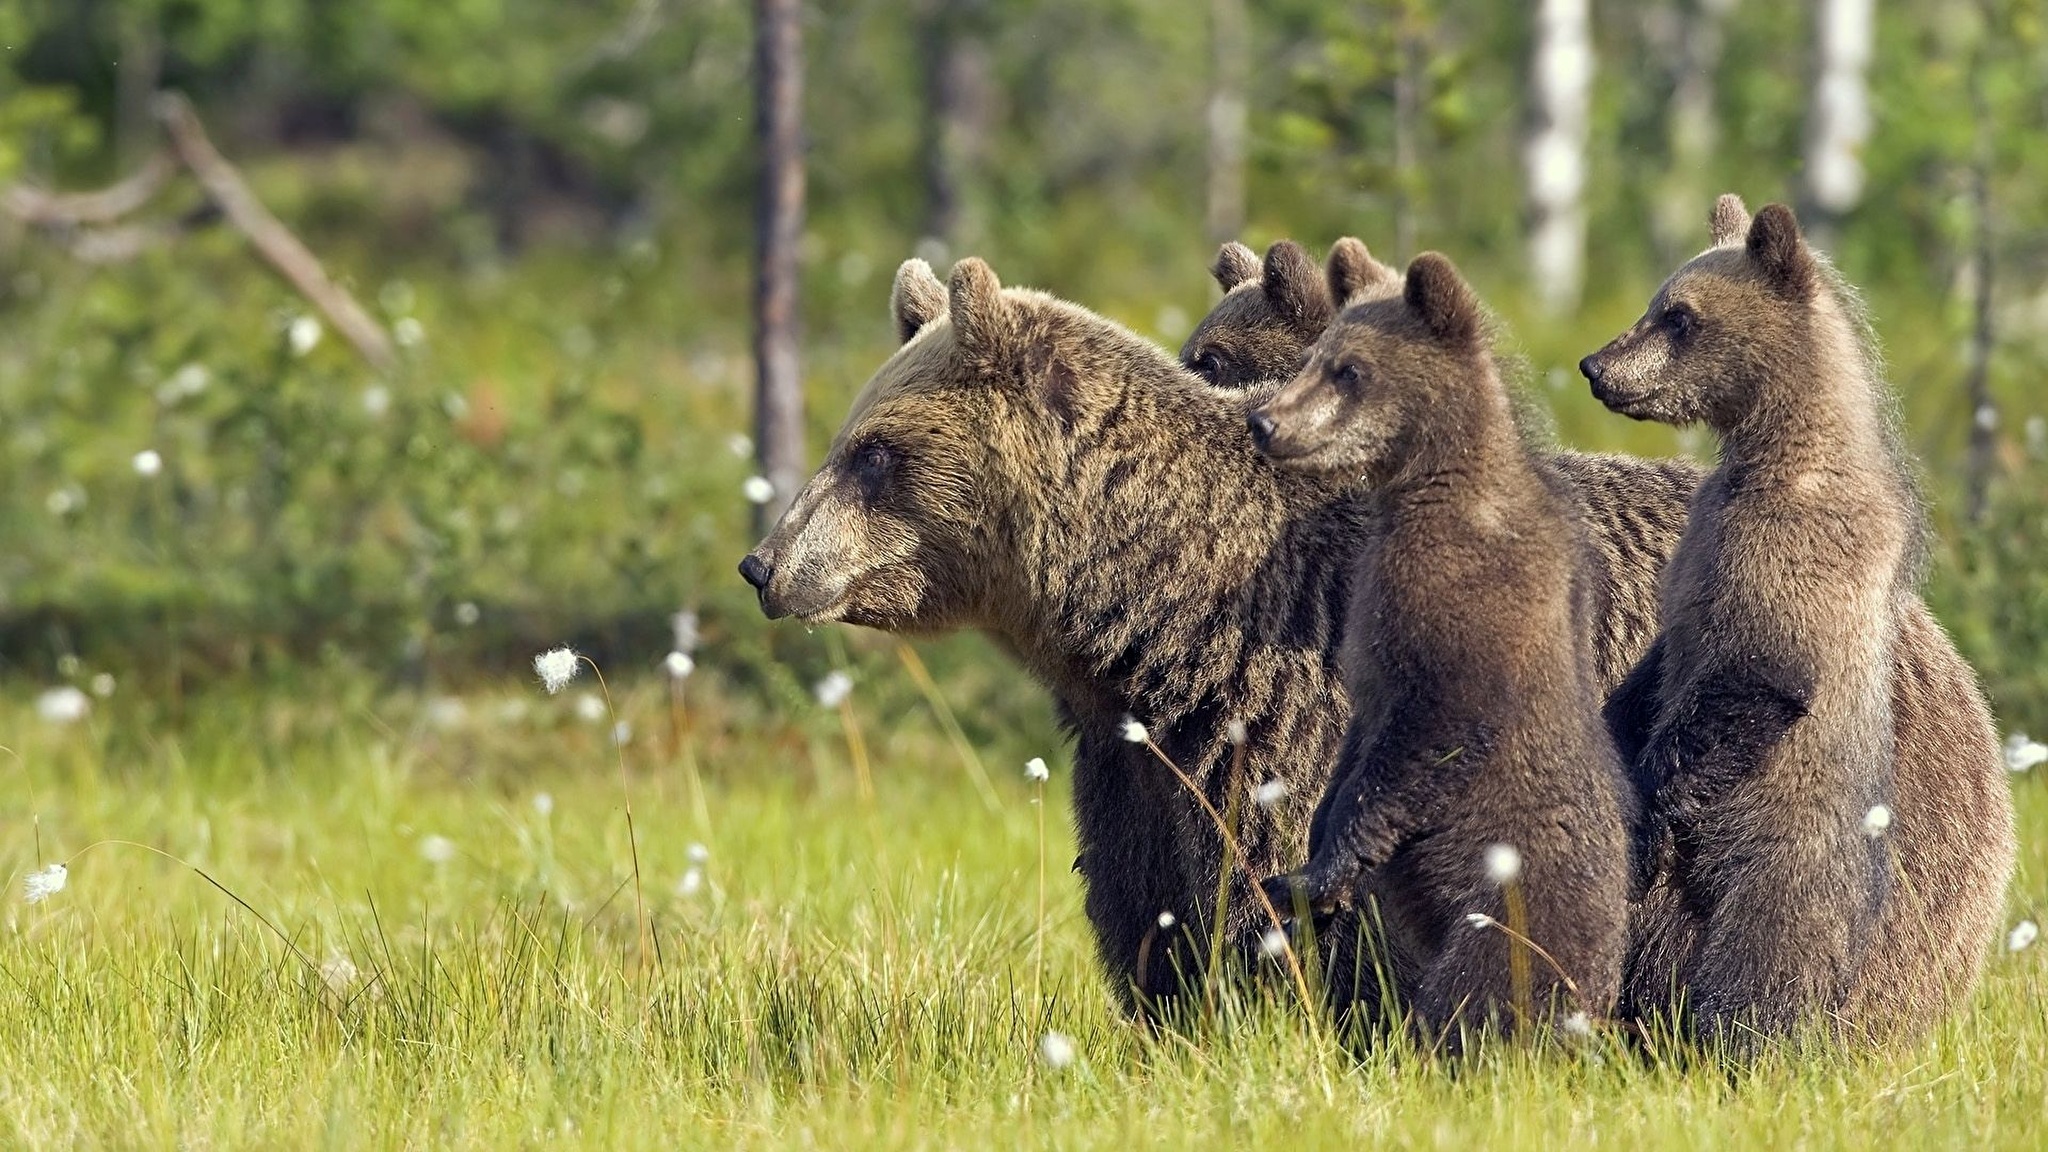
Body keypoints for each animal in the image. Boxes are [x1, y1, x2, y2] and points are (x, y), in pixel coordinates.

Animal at [737, 255, 1376, 1008]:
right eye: (847, 442)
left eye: (873, 454)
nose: (762, 565)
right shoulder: (1132, 770)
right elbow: (1146, 906)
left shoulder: (1281, 712)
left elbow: (1272, 881)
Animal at [1245, 251, 1630, 1041]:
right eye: (1315, 355)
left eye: (1350, 369)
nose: (1263, 420)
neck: (1427, 488)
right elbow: (1358, 740)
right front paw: (1310, 858)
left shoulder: (1464, 603)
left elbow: (1432, 731)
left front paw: (1313, 872)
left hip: (1516, 911)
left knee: (1480, 995)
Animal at [1581, 196, 2015, 1041]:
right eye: (1658, 302)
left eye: (1678, 316)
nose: (1595, 365)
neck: (1776, 448)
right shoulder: (1697, 549)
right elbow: (1659, 664)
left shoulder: (1790, 554)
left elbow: (1757, 675)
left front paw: (1645, 804)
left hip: (1785, 862)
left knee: (1762, 964)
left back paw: (1740, 1036)